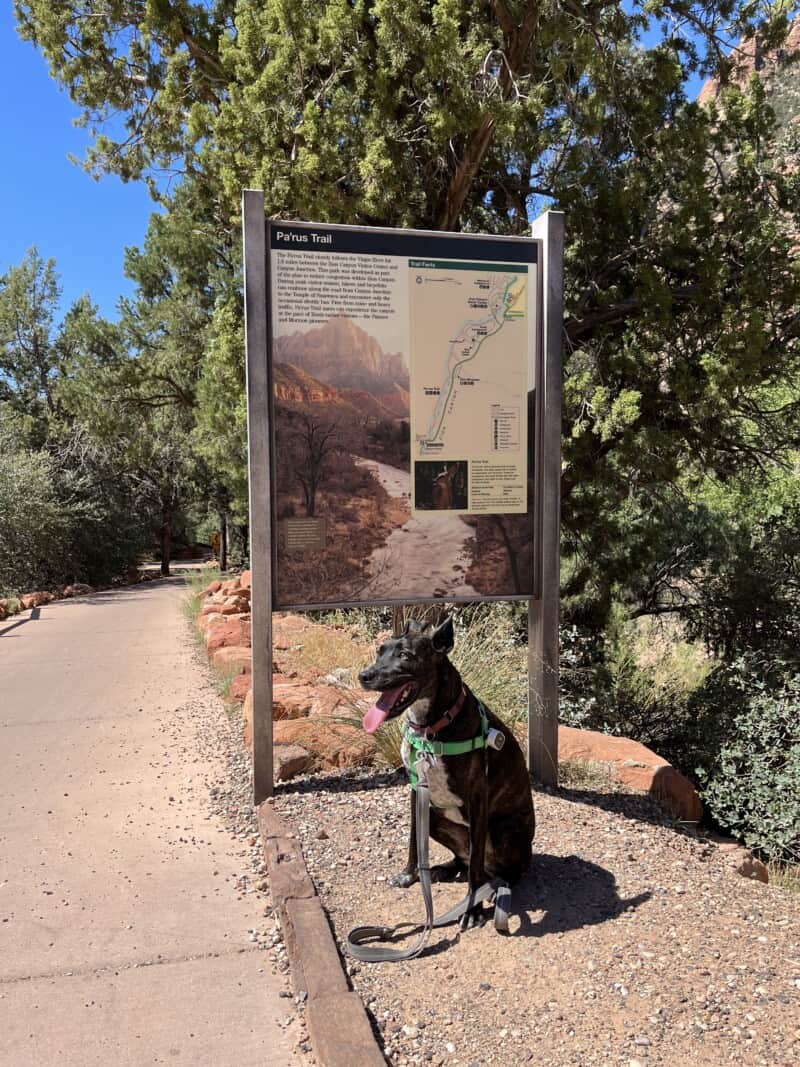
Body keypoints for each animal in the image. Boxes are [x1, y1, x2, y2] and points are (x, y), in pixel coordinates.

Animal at [360, 614, 535, 930]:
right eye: (381, 651)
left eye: (406, 656)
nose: (364, 676)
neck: (432, 726)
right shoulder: (416, 791)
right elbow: (413, 841)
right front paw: (410, 875)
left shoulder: (478, 801)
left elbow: (474, 870)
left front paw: (472, 910)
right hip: (436, 820)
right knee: (465, 860)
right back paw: (443, 869)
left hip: (504, 830)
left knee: (498, 869)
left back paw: (496, 889)